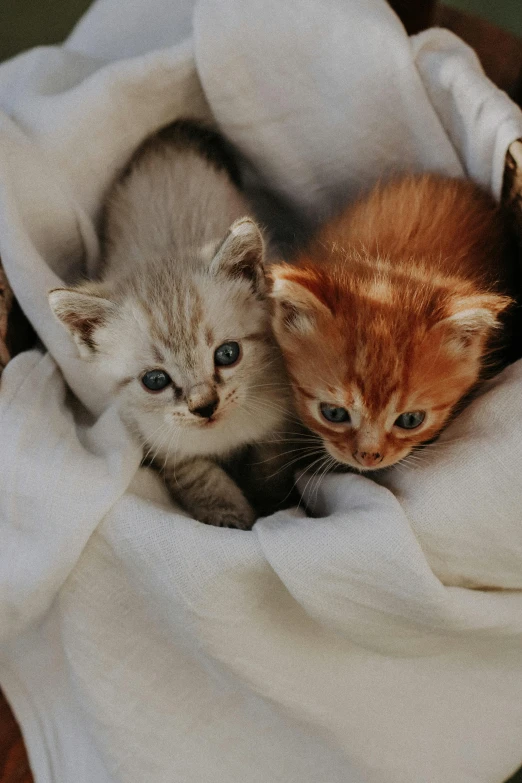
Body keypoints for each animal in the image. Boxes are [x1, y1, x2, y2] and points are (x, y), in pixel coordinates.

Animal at [48, 119, 296, 528]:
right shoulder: (167, 447)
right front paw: (231, 520)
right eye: (155, 380)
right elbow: (204, 481)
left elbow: (270, 468)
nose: (204, 406)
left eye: (228, 354)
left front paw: (273, 505)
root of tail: (168, 139)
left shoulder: (277, 424)